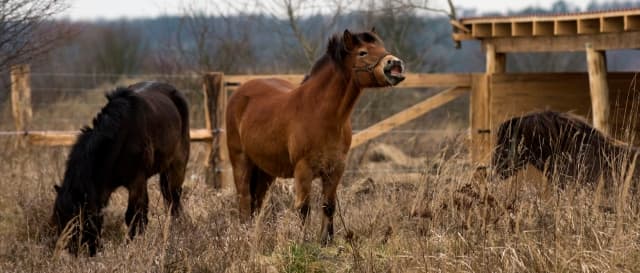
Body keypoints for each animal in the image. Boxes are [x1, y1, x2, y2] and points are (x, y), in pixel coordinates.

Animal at [51, 81, 190, 255]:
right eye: (58, 220)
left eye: (78, 221)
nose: (73, 252)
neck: (120, 138)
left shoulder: (136, 182)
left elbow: (132, 216)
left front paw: (130, 246)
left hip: (177, 166)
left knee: (174, 200)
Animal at [225, 28, 404, 243]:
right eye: (362, 52)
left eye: (381, 47)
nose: (395, 64)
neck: (321, 113)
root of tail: (239, 93)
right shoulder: (303, 170)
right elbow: (304, 209)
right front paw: (303, 242)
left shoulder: (335, 170)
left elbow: (328, 205)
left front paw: (326, 241)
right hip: (241, 161)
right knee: (244, 200)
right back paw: (244, 235)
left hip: (265, 169)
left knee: (257, 202)